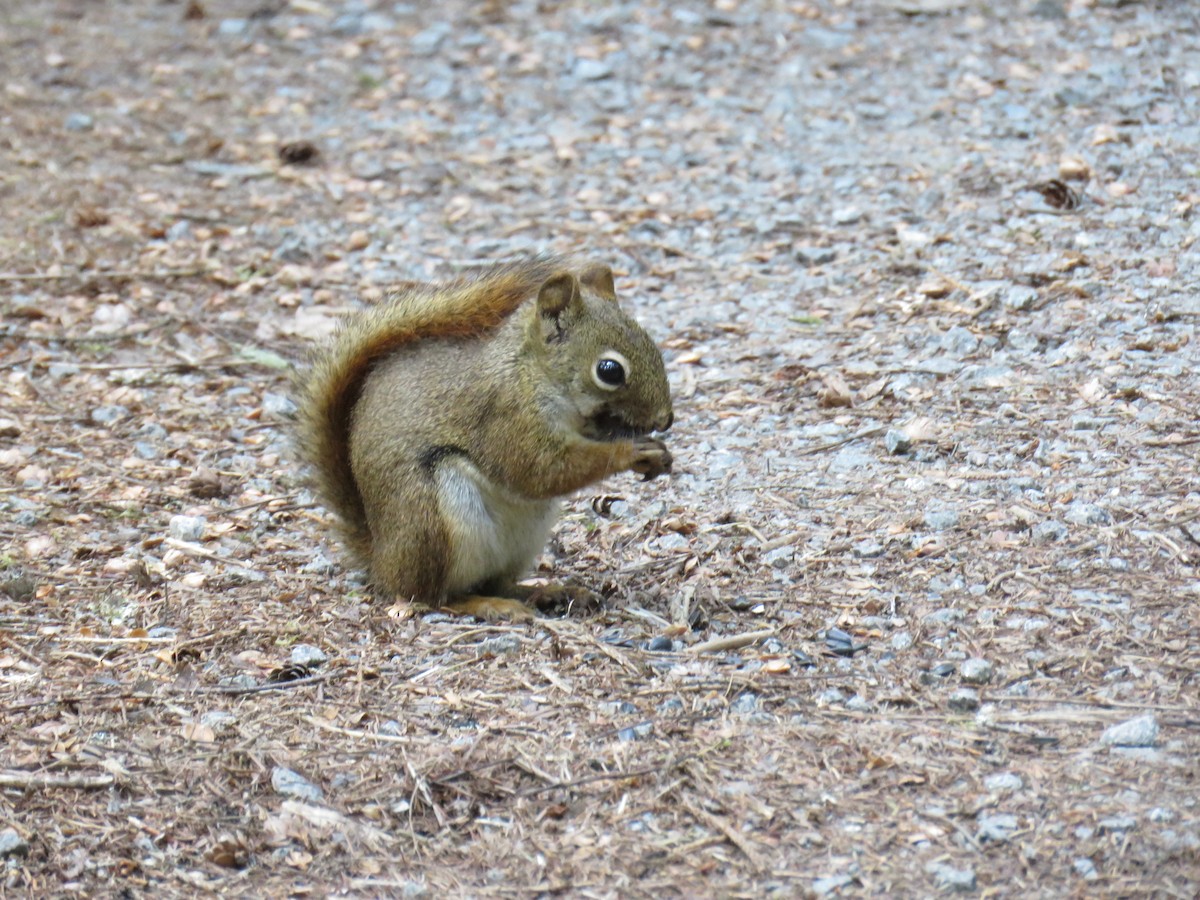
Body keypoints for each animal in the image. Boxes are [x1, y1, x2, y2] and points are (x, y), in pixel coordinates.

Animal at [296, 255, 674, 621]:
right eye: (609, 371)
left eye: (653, 346)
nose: (666, 419)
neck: (530, 372)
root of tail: (381, 560)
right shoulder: (506, 416)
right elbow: (541, 471)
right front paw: (633, 452)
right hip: (435, 525)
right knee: (433, 597)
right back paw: (486, 605)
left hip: (524, 538)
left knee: (498, 583)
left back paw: (549, 592)